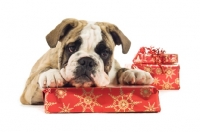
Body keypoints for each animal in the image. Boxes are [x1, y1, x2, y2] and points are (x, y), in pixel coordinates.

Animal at [19, 18, 153, 105]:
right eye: (71, 48)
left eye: (104, 53)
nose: (87, 61)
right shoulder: (29, 92)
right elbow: (41, 73)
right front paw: (51, 73)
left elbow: (122, 70)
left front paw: (134, 72)